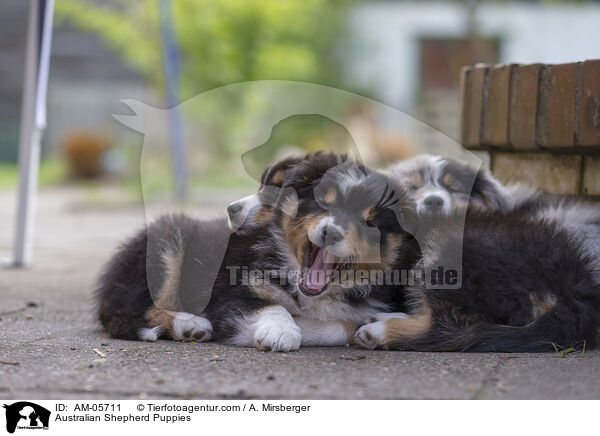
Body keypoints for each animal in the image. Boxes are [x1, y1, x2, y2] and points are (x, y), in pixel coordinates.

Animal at [96, 152, 420, 350]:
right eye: (322, 203)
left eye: (369, 222)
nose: (331, 232)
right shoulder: (230, 293)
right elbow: (275, 307)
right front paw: (282, 331)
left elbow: (346, 324)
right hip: (166, 243)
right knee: (135, 309)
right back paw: (189, 325)